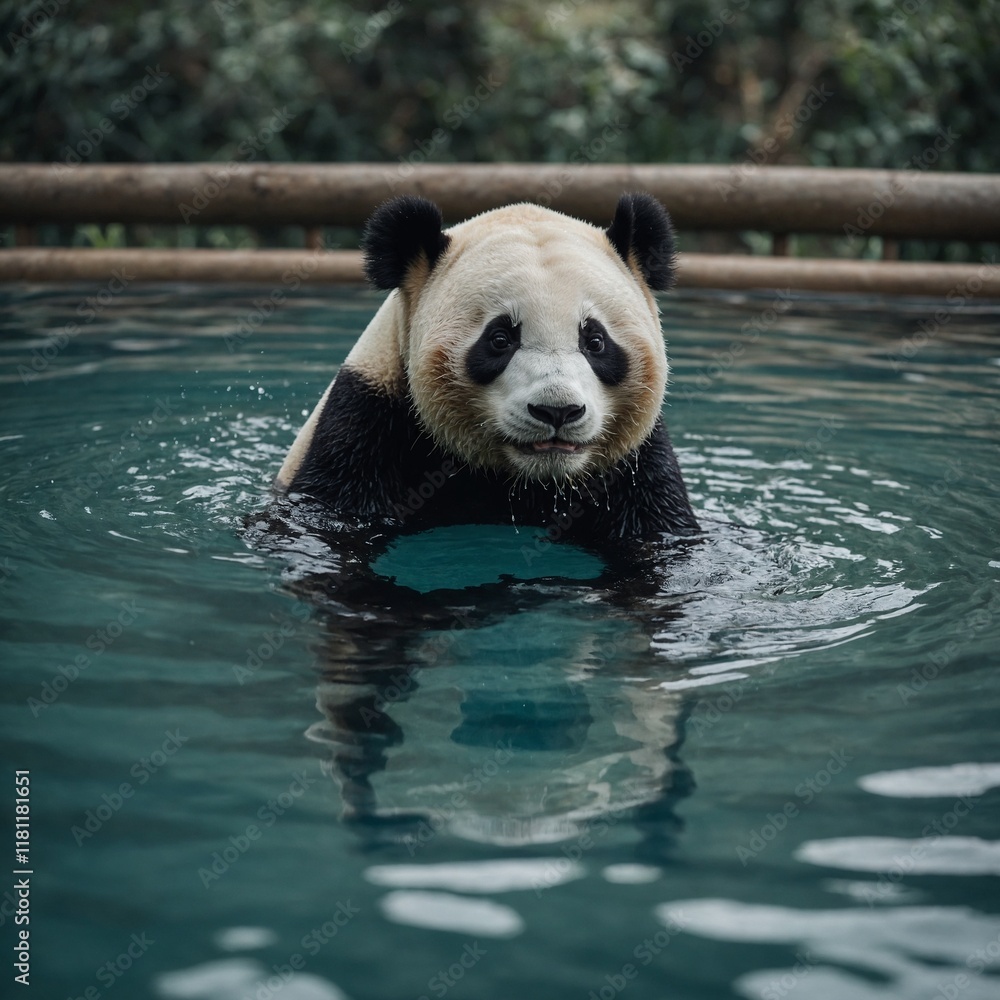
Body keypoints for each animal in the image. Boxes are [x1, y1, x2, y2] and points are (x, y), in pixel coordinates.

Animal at [275, 192, 699, 558]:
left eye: (595, 341)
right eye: (499, 339)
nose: (557, 411)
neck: (527, 482)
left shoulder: (637, 468)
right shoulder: (366, 428)